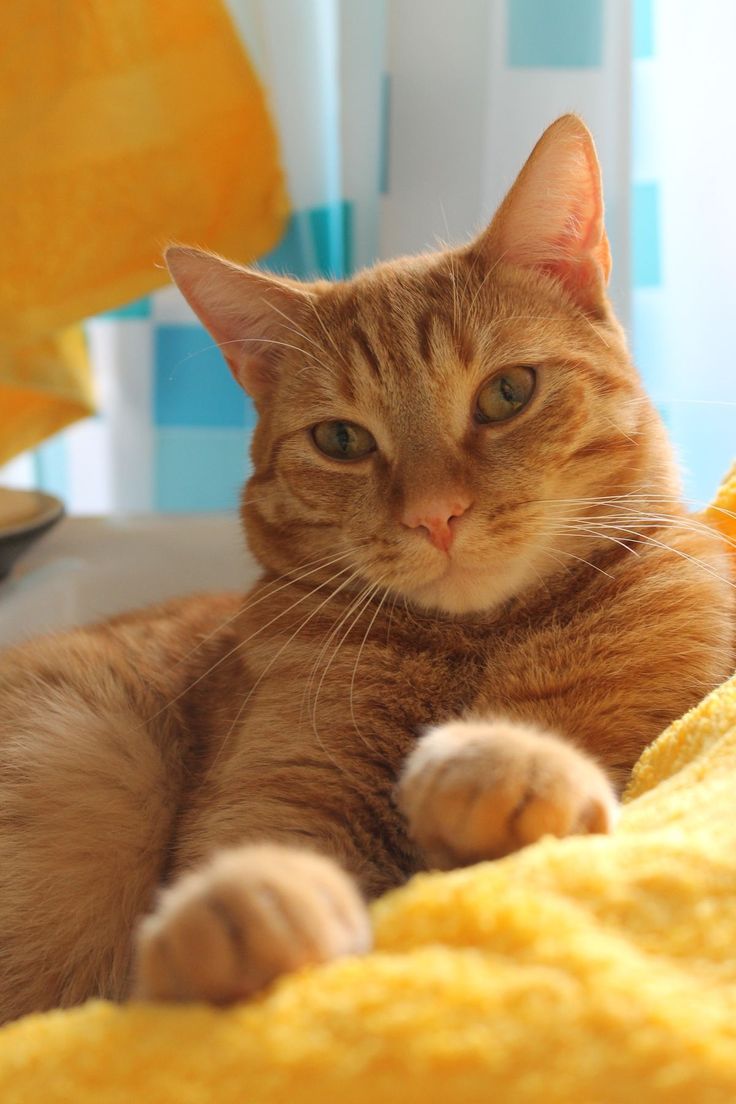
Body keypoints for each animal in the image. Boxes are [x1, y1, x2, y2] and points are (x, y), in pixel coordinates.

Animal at [0, 114, 732, 1015]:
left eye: (508, 393)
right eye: (342, 440)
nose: (435, 515)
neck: (474, 647)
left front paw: (500, 768)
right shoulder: (281, 790)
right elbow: (263, 855)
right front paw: (243, 904)